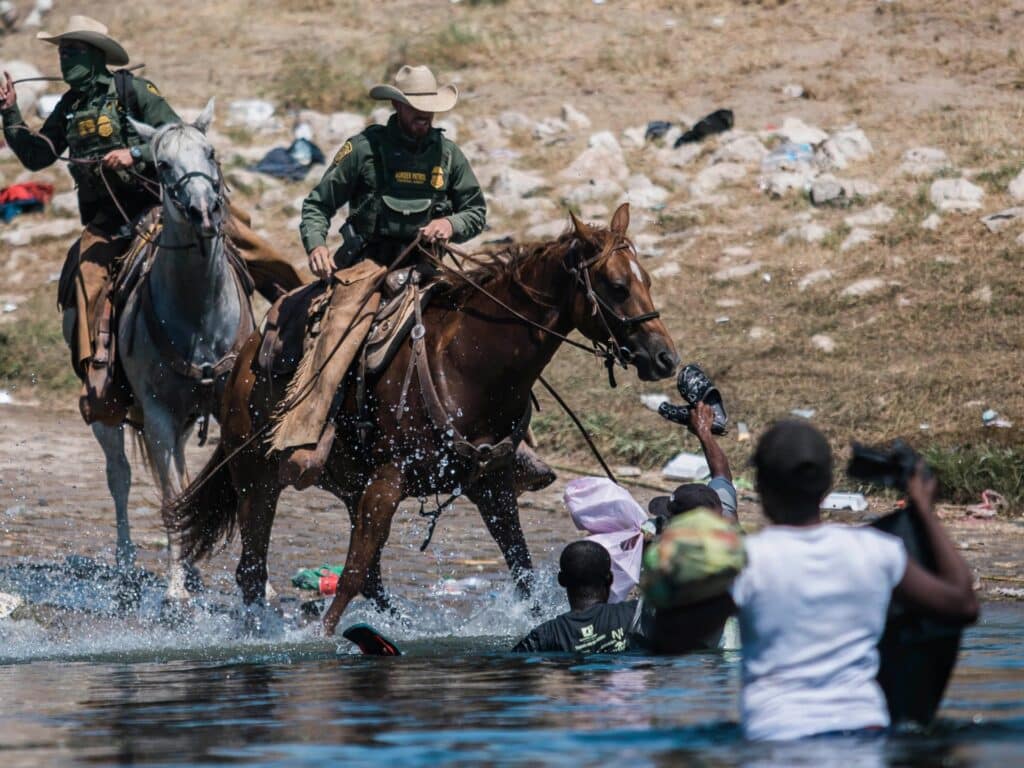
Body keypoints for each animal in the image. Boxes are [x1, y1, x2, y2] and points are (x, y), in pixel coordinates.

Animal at [67, 100, 254, 606]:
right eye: (163, 164)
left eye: (211, 153)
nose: (204, 211)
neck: (199, 314)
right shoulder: (156, 416)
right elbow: (170, 499)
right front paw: (174, 590)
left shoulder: (227, 406)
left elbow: (228, 486)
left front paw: (257, 584)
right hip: (108, 411)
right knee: (120, 476)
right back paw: (128, 566)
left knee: (185, 478)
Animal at [172, 201, 675, 634]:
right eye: (617, 286)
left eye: (648, 280)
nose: (665, 357)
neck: (469, 364)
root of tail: (243, 359)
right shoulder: (388, 481)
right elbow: (351, 573)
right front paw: (324, 636)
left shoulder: (491, 486)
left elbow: (522, 569)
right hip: (256, 478)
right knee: (252, 569)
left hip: (347, 485)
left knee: (368, 578)